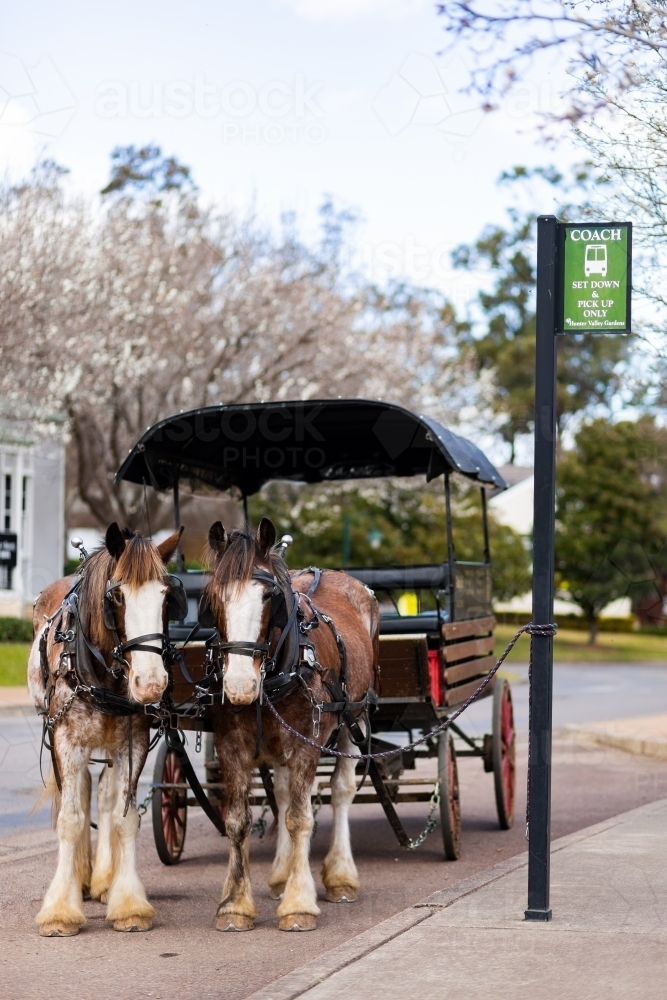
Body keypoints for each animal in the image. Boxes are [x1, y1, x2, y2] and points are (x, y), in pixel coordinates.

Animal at [27, 524, 183, 936]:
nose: (151, 683)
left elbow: (125, 818)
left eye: (167, 596)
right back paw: (80, 879)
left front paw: (128, 904)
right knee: (81, 792)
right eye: (117, 596)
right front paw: (60, 910)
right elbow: (70, 818)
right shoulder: (66, 741)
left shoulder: (133, 744)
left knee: (109, 796)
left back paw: (102, 880)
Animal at [206, 520, 378, 932]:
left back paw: (340, 876)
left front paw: (299, 904)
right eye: (214, 597)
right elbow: (238, 821)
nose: (239, 685)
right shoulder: (230, 745)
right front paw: (235, 905)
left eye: (269, 596)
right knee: (283, 794)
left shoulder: (305, 745)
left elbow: (301, 819)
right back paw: (282, 874)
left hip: (354, 717)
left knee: (341, 791)